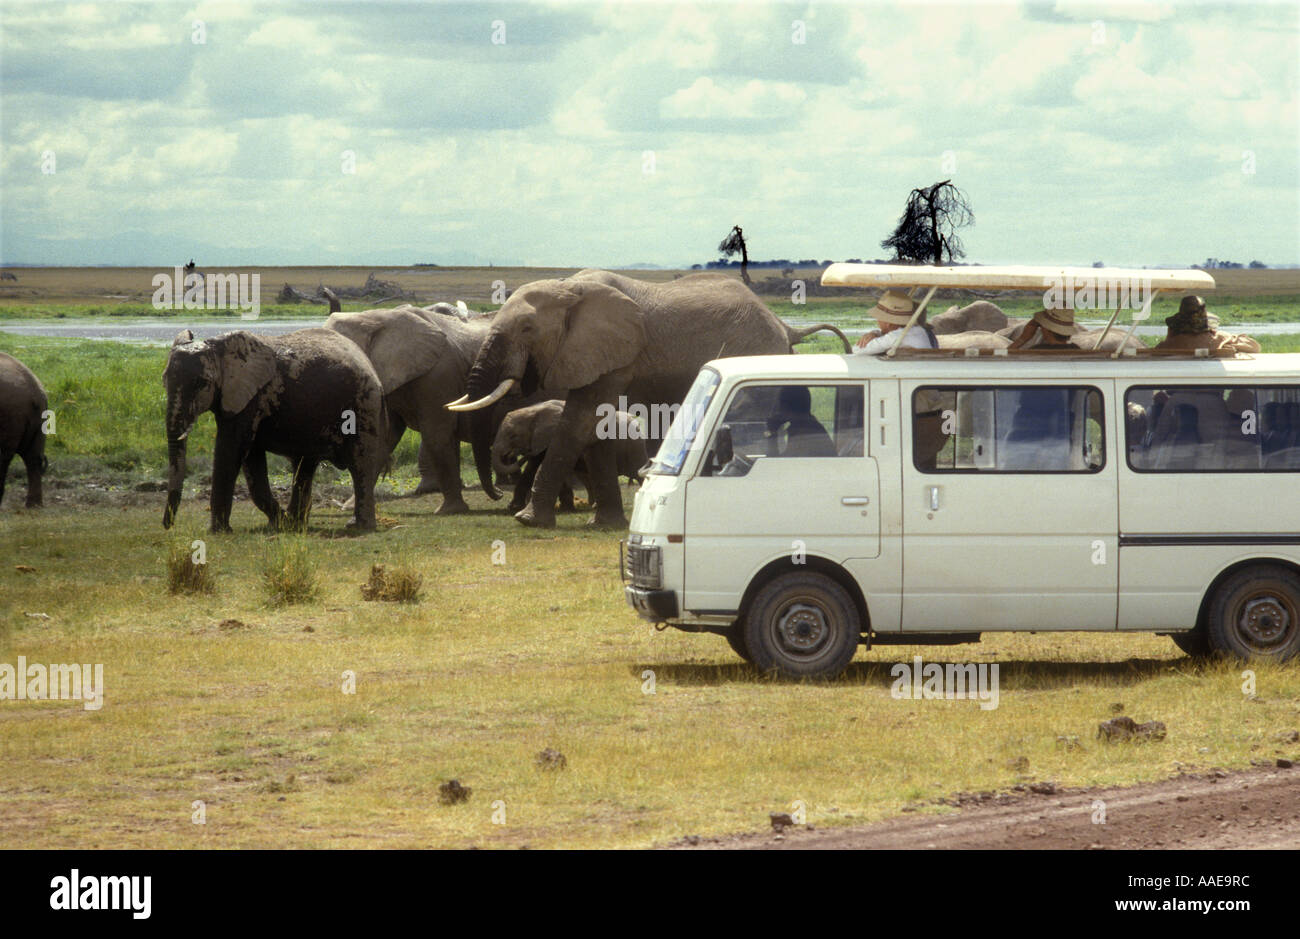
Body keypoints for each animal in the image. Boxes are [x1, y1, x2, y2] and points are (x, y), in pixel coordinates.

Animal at [162, 327, 387, 533]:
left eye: (201, 383)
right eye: (164, 381)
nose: (168, 525)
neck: (219, 347)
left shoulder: (252, 396)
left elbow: (232, 449)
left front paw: (219, 531)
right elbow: (251, 457)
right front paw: (280, 523)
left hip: (364, 404)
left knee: (360, 464)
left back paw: (359, 527)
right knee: (304, 466)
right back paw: (297, 525)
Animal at [488, 397, 647, 512]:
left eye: (513, 436)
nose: (510, 454)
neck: (534, 410)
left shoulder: (551, 438)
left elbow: (537, 468)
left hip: (634, 447)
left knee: (638, 472)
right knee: (586, 476)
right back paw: (592, 506)